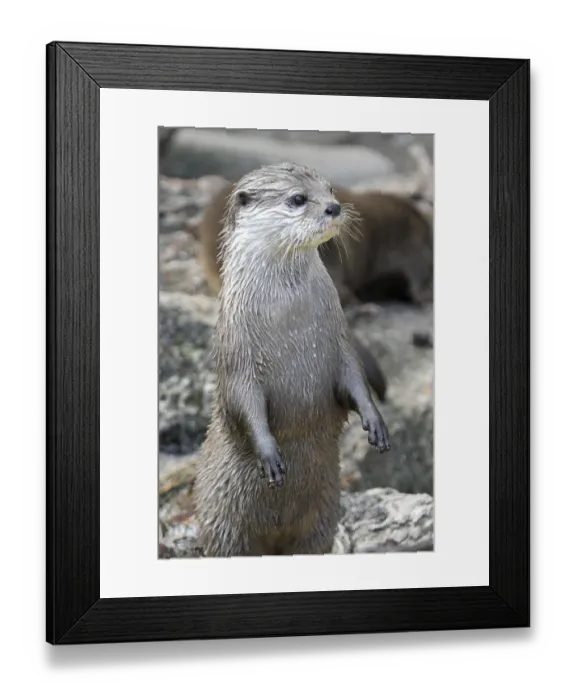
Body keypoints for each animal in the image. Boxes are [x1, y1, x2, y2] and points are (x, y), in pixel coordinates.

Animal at [194, 163, 391, 557]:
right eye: (298, 199)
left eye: (330, 190)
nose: (333, 207)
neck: (290, 320)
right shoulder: (237, 354)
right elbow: (243, 402)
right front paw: (269, 453)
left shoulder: (338, 341)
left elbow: (354, 378)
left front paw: (375, 421)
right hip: (223, 527)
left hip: (324, 515)